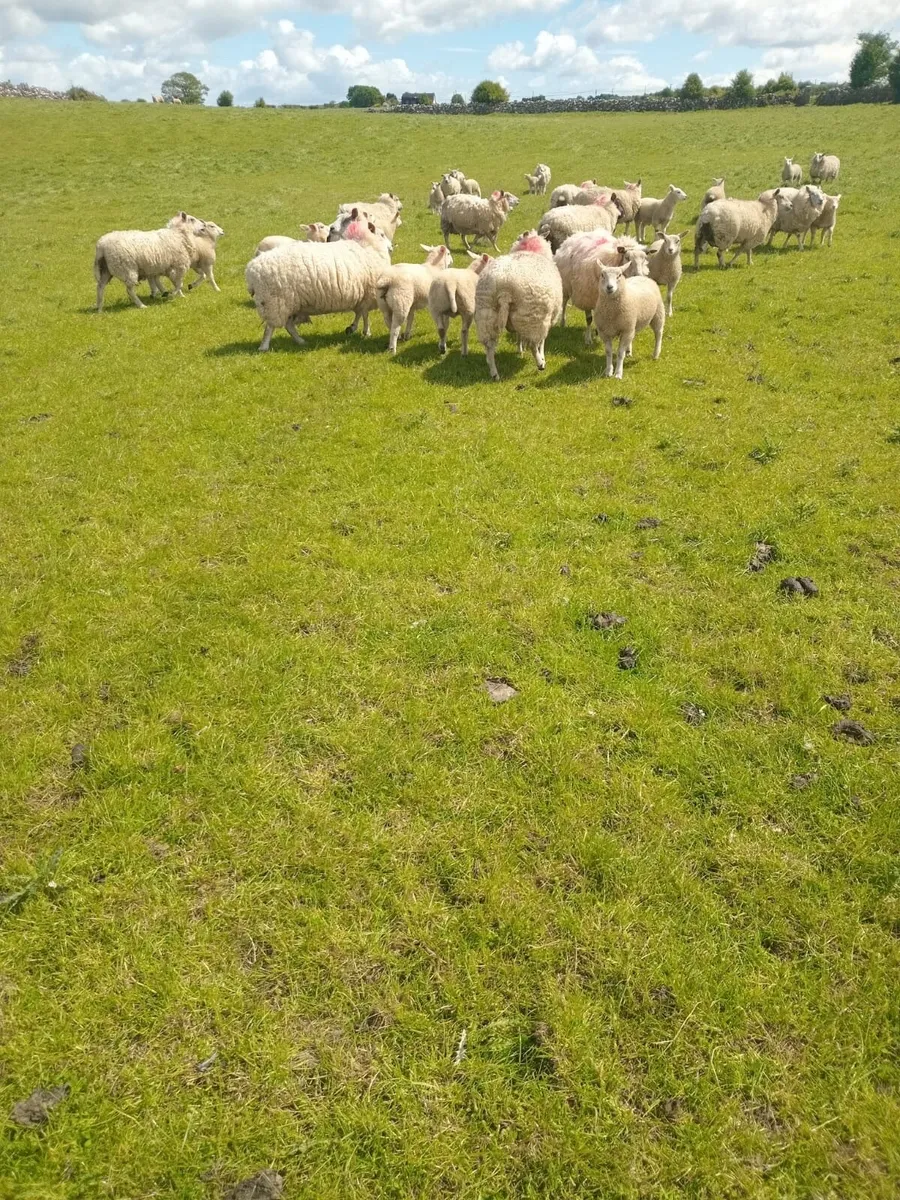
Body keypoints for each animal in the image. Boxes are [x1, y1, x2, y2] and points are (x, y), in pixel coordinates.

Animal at [245, 210, 392, 352]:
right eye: (382, 234)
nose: (392, 247)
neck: (367, 246)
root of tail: (252, 269)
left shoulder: (361, 295)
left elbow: (359, 313)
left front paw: (352, 328)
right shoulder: (367, 293)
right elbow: (365, 315)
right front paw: (365, 332)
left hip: (289, 304)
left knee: (288, 325)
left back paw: (301, 341)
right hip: (274, 303)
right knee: (270, 327)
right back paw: (264, 347)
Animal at [475, 230, 563, 381]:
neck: (530, 249)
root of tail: (504, 288)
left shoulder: (519, 319)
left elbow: (519, 335)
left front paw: (520, 349)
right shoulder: (546, 317)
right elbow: (542, 341)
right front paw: (541, 356)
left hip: (486, 315)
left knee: (489, 346)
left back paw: (494, 373)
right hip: (533, 317)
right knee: (534, 344)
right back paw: (540, 363)